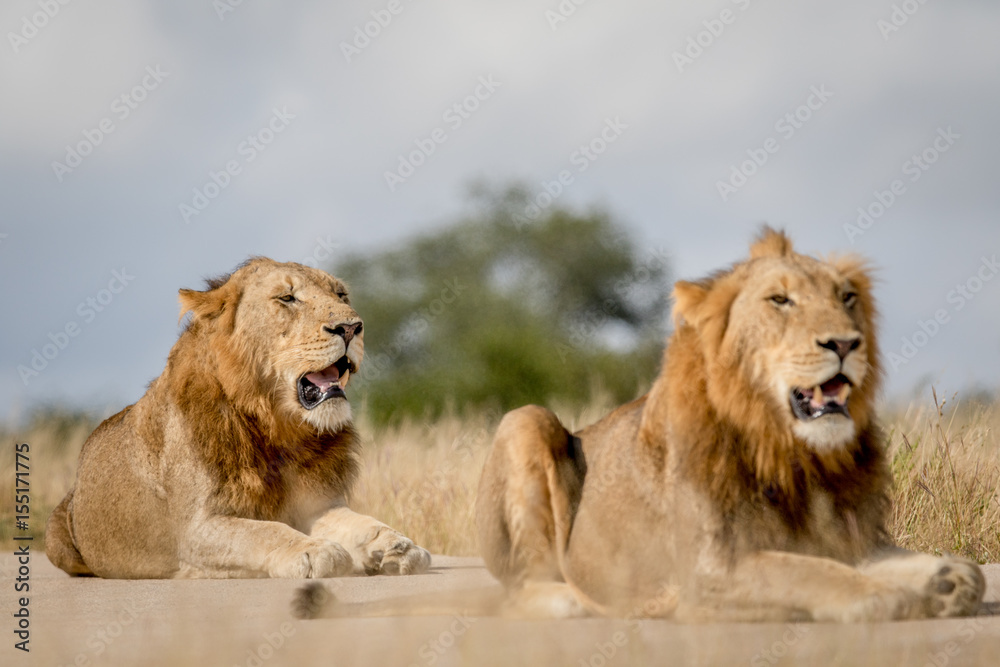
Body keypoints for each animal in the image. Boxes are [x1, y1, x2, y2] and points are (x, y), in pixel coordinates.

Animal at [45, 257, 431, 579]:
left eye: (341, 293)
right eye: (287, 298)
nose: (351, 327)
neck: (278, 430)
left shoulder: (316, 504)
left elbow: (360, 523)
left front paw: (398, 546)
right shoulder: (195, 530)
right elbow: (263, 531)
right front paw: (313, 550)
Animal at [472, 228, 986, 622]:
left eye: (847, 297)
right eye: (780, 300)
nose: (845, 343)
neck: (789, 450)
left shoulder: (849, 538)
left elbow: (957, 571)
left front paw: (946, 579)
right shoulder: (706, 572)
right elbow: (802, 570)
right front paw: (881, 596)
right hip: (527, 419)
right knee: (521, 590)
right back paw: (578, 601)